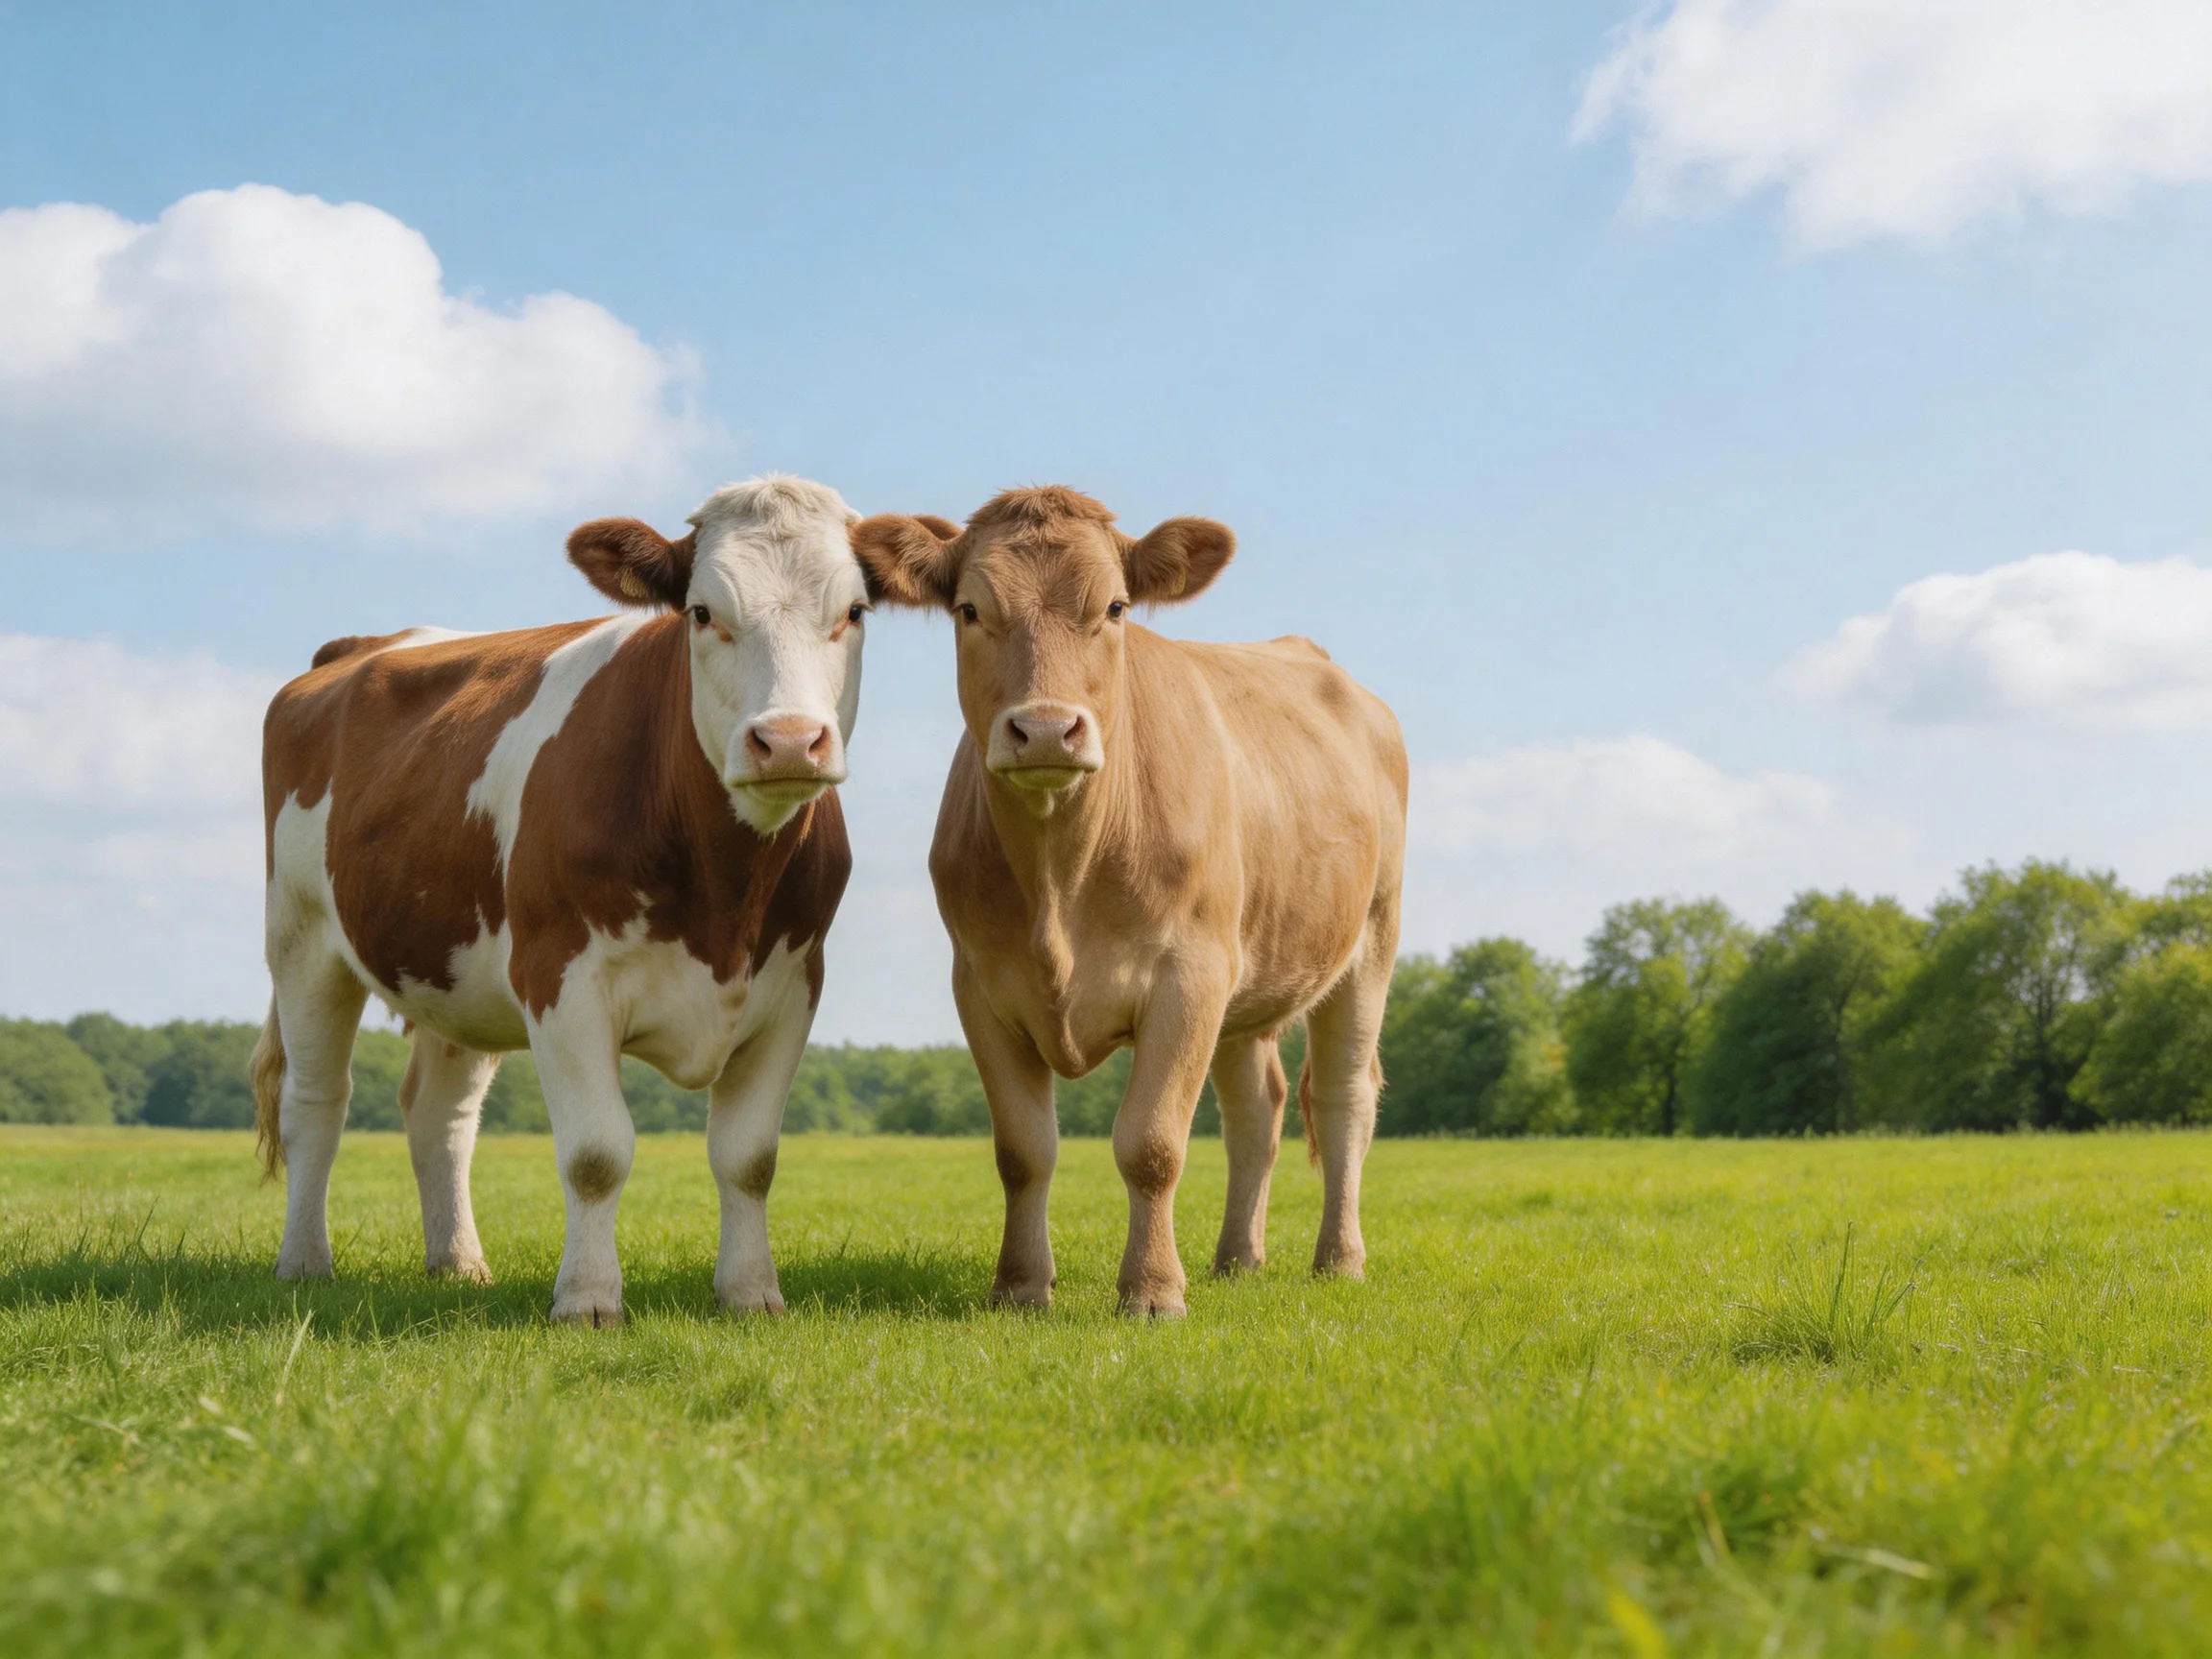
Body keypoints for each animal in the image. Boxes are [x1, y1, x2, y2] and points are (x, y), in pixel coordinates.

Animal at [251, 475, 870, 1325]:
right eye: (702, 612)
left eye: (855, 611)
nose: (786, 740)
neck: (725, 893)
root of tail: (363, 644)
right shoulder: (560, 979)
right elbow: (596, 1154)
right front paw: (587, 1299)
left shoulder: (793, 986)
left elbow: (749, 1159)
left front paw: (751, 1294)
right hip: (304, 941)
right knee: (316, 1102)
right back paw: (305, 1263)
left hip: (456, 971)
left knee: (438, 1114)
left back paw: (457, 1262)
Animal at [853, 486, 1407, 1316]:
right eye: (970, 610)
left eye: (1114, 608)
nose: (1047, 728)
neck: (1062, 875)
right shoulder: (981, 986)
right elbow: (1023, 1151)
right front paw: (1020, 1286)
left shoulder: (1189, 976)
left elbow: (1151, 1145)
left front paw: (1150, 1291)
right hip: (1250, 975)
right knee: (1258, 1111)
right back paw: (1237, 1258)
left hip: (1369, 939)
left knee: (1343, 1100)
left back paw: (1338, 1259)